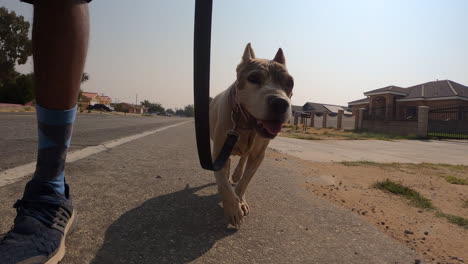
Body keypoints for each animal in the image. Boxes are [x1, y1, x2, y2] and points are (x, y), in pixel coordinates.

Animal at [210, 43, 294, 227]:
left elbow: (245, 181)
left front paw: (240, 201)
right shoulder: (218, 150)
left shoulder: (258, 154)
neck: (245, 123)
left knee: (242, 159)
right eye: (253, 78)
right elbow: (223, 183)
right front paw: (232, 208)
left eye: (290, 83)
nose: (280, 103)